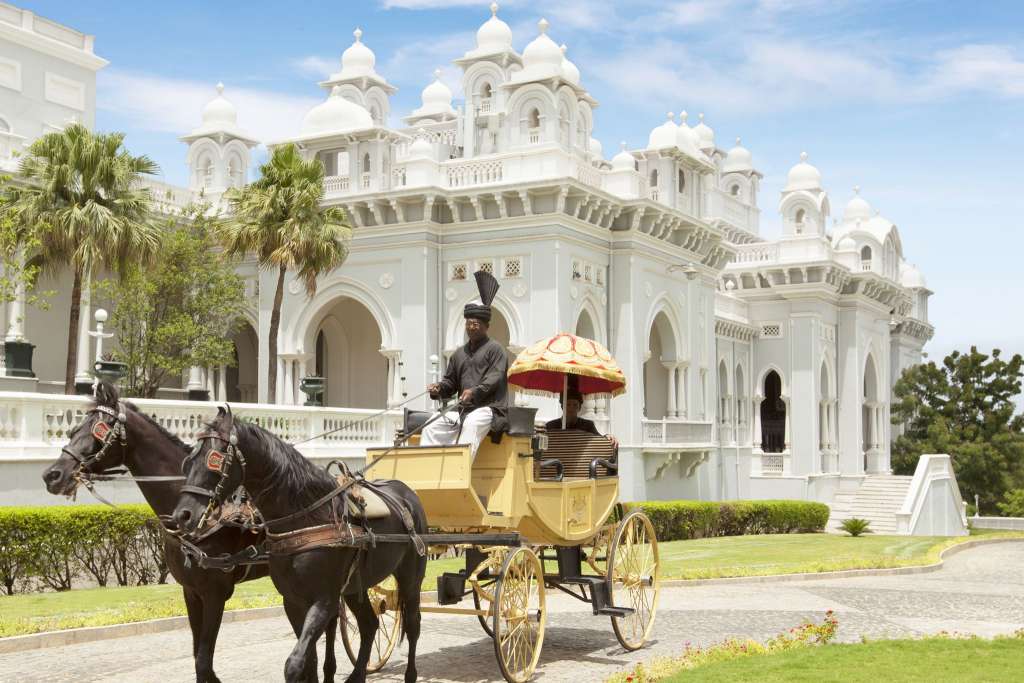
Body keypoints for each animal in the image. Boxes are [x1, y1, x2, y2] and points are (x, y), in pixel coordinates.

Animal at [40, 385, 319, 683]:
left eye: (98, 431)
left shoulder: (215, 593)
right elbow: (198, 658)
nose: (52, 475)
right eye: (74, 429)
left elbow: (204, 662)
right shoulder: (191, 592)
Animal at [171, 405, 423, 683]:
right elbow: (308, 661)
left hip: (411, 578)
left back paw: (410, 674)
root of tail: (405, 492)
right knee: (369, 624)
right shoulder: (293, 601)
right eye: (188, 462)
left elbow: (294, 663)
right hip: (353, 588)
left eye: (213, 461)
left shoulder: (323, 600)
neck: (306, 516)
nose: (183, 515)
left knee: (413, 625)